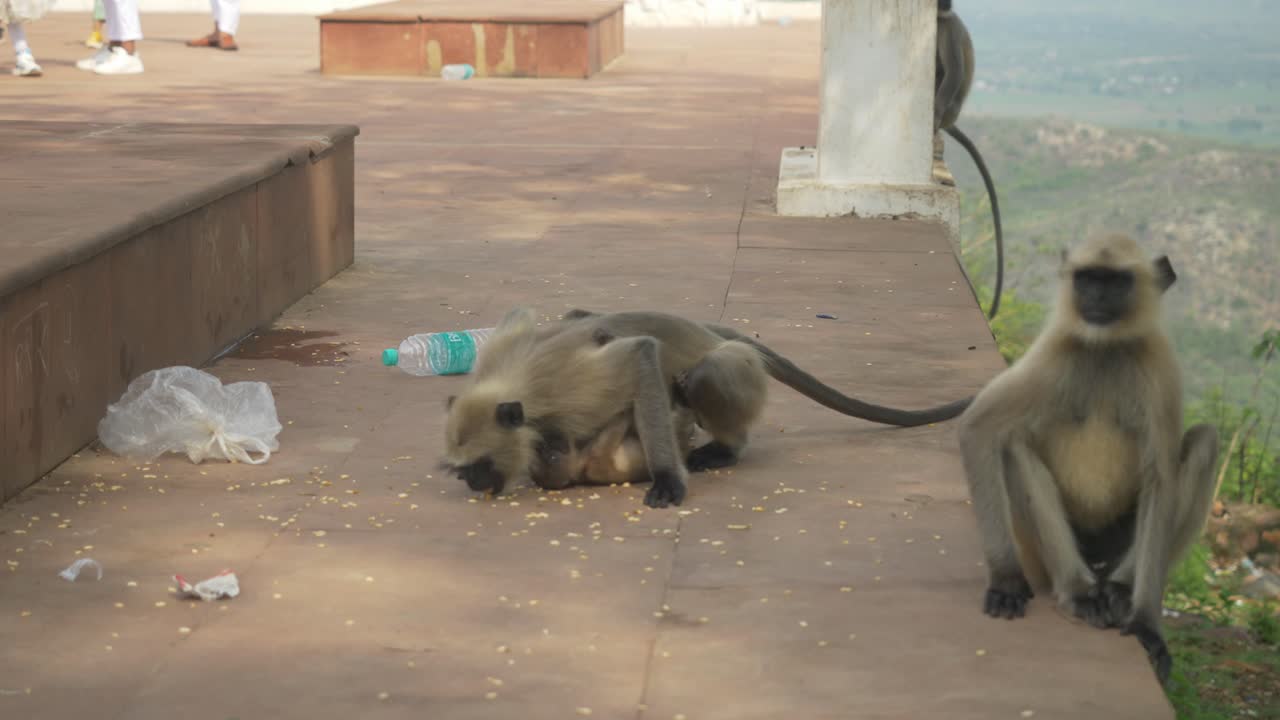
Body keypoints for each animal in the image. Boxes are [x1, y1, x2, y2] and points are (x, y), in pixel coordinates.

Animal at [443, 306, 975, 508]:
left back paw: (726, 447)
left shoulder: (570, 389)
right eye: (460, 470)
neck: (518, 385)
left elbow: (641, 356)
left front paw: (667, 479)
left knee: (702, 374)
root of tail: (711, 331)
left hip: (739, 372)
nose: (472, 483)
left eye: (479, 465)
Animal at [956, 233, 1219, 685]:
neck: (1105, 347)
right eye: (1088, 278)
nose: (1095, 297)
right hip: (1043, 554)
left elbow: (1161, 479)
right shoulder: (1055, 350)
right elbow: (979, 427)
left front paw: (1147, 625)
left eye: (1114, 281)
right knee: (1013, 441)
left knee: (1204, 441)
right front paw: (1006, 579)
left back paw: (1120, 588)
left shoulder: (1160, 369)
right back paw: (1077, 592)